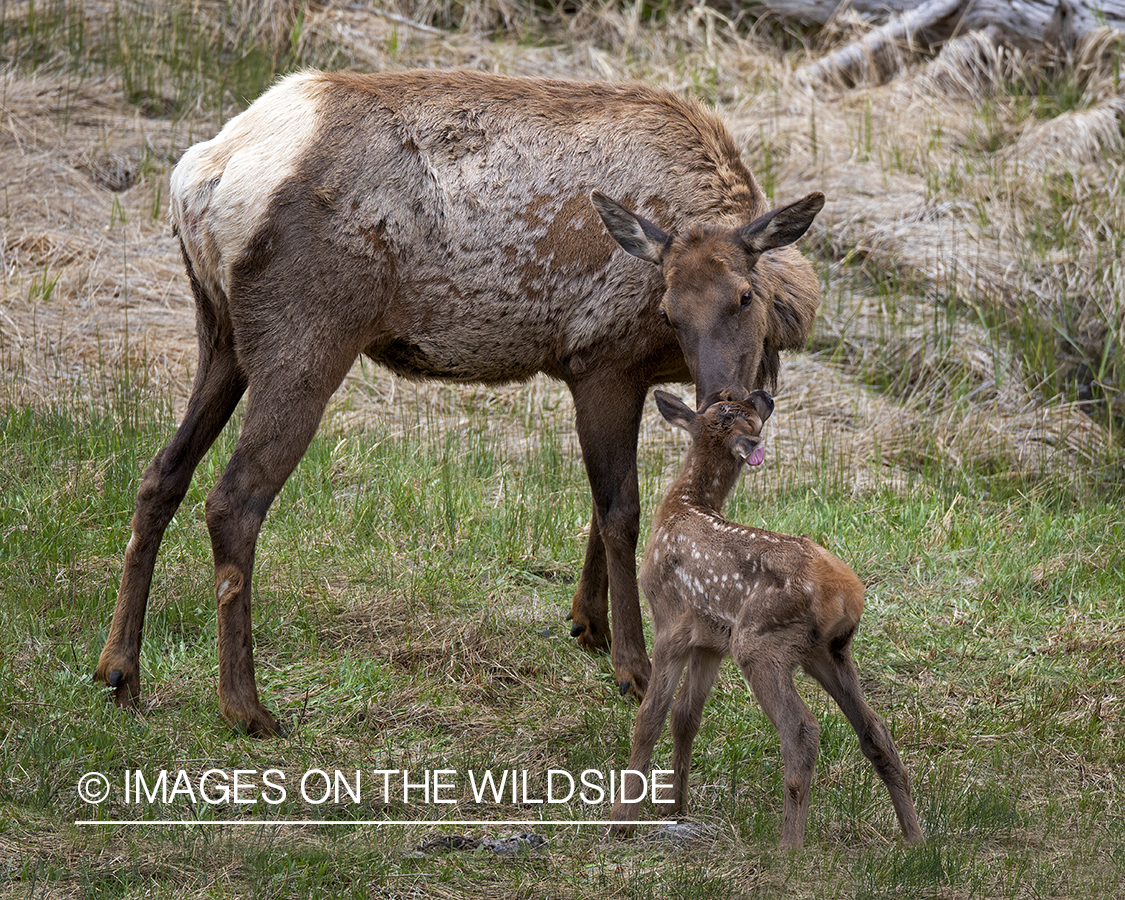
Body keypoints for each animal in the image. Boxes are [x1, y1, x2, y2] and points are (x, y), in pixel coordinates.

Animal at [92, 68, 823, 729]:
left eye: (744, 296)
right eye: (668, 310)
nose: (726, 404)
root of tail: (199, 176)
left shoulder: (633, 375)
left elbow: (599, 507)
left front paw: (586, 624)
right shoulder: (599, 361)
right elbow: (621, 511)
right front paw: (631, 666)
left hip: (219, 333)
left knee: (160, 475)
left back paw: (119, 672)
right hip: (305, 336)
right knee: (232, 501)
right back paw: (245, 707)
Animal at [616, 389, 922, 846]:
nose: (761, 395)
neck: (682, 507)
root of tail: (845, 593)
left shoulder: (670, 621)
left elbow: (650, 717)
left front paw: (622, 819)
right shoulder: (710, 640)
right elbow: (686, 716)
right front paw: (675, 807)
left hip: (760, 643)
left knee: (801, 730)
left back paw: (788, 848)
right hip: (827, 652)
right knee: (875, 730)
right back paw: (916, 839)